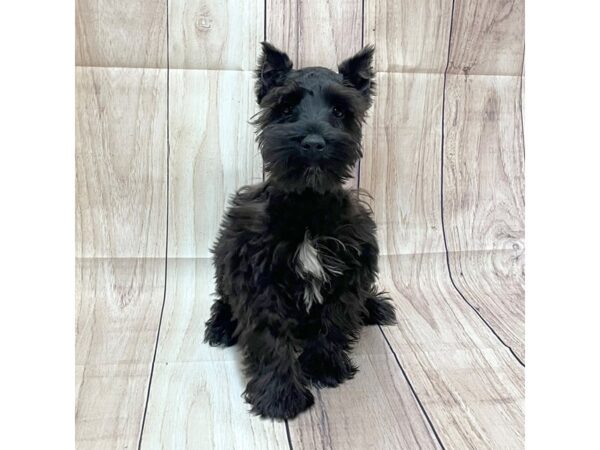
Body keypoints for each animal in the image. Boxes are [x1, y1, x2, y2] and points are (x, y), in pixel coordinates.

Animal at [204, 42, 396, 418]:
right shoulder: (259, 280)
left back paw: (375, 307)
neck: (308, 207)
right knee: (223, 298)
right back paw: (220, 326)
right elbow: (270, 336)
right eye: (286, 106)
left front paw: (323, 367)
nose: (313, 142)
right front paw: (280, 393)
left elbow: (335, 321)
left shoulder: (350, 271)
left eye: (339, 109)